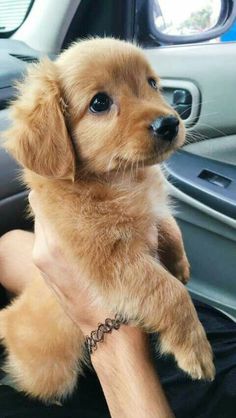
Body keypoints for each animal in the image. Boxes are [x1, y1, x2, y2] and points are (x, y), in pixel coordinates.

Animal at [0, 38, 215, 402]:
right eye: (99, 102)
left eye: (152, 83)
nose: (169, 123)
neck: (121, 180)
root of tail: (10, 318)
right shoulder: (113, 260)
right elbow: (169, 292)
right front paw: (195, 349)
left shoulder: (153, 210)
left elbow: (169, 226)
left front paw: (180, 264)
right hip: (51, 372)